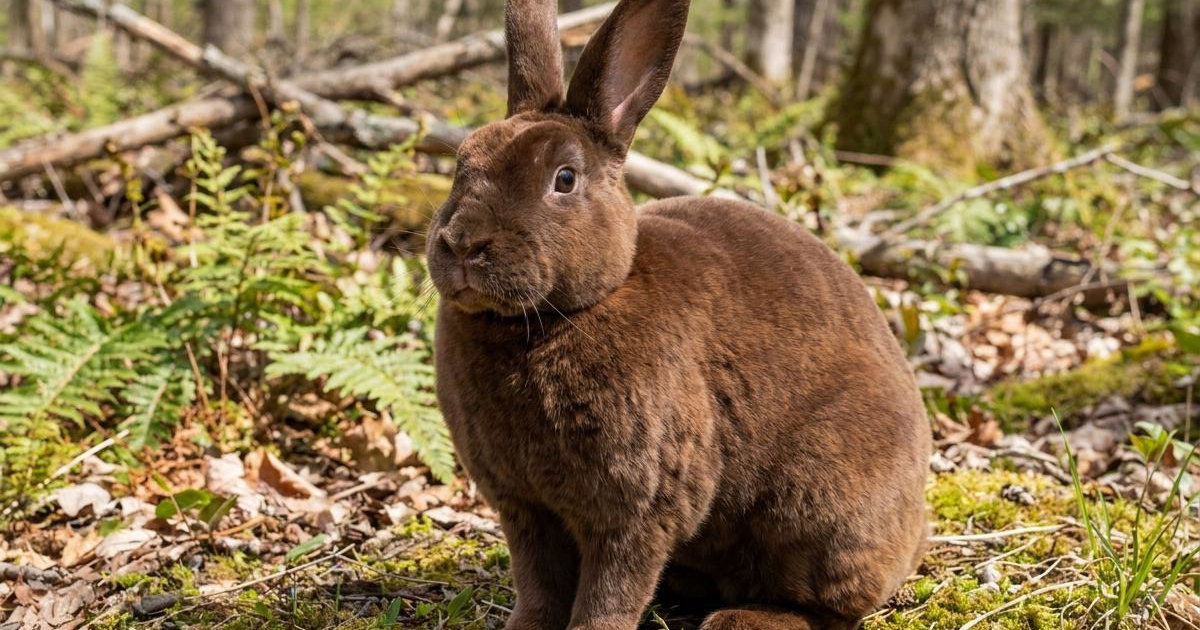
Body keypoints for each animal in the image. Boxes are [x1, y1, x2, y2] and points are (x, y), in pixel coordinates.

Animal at [424, 0, 931, 628]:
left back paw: (743, 619)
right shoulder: (524, 507)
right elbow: (538, 584)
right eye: (460, 163)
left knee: (830, 606)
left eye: (564, 179)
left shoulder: (639, 508)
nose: (461, 244)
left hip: (818, 505)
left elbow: (610, 591)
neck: (551, 319)